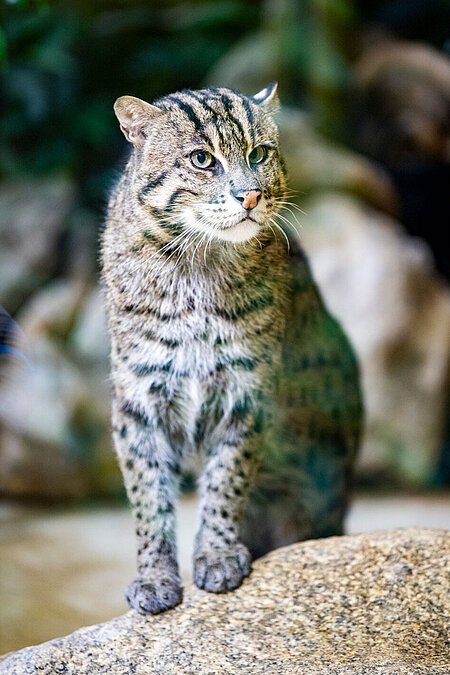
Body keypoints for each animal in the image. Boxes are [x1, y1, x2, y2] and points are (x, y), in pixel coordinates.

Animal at [102, 82, 362, 616]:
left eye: (259, 154)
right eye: (202, 160)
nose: (251, 194)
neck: (196, 266)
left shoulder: (246, 389)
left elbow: (227, 477)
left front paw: (218, 554)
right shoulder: (138, 396)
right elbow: (147, 495)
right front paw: (154, 576)